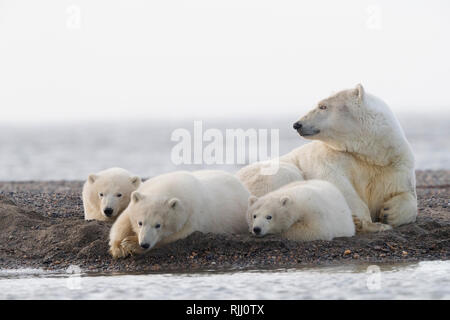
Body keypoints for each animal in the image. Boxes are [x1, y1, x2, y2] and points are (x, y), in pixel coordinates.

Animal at [237, 84, 416, 231]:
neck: (370, 154)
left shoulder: (394, 165)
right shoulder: (330, 157)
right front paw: (366, 222)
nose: (297, 124)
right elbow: (337, 184)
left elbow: (405, 193)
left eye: (323, 106)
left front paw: (389, 212)